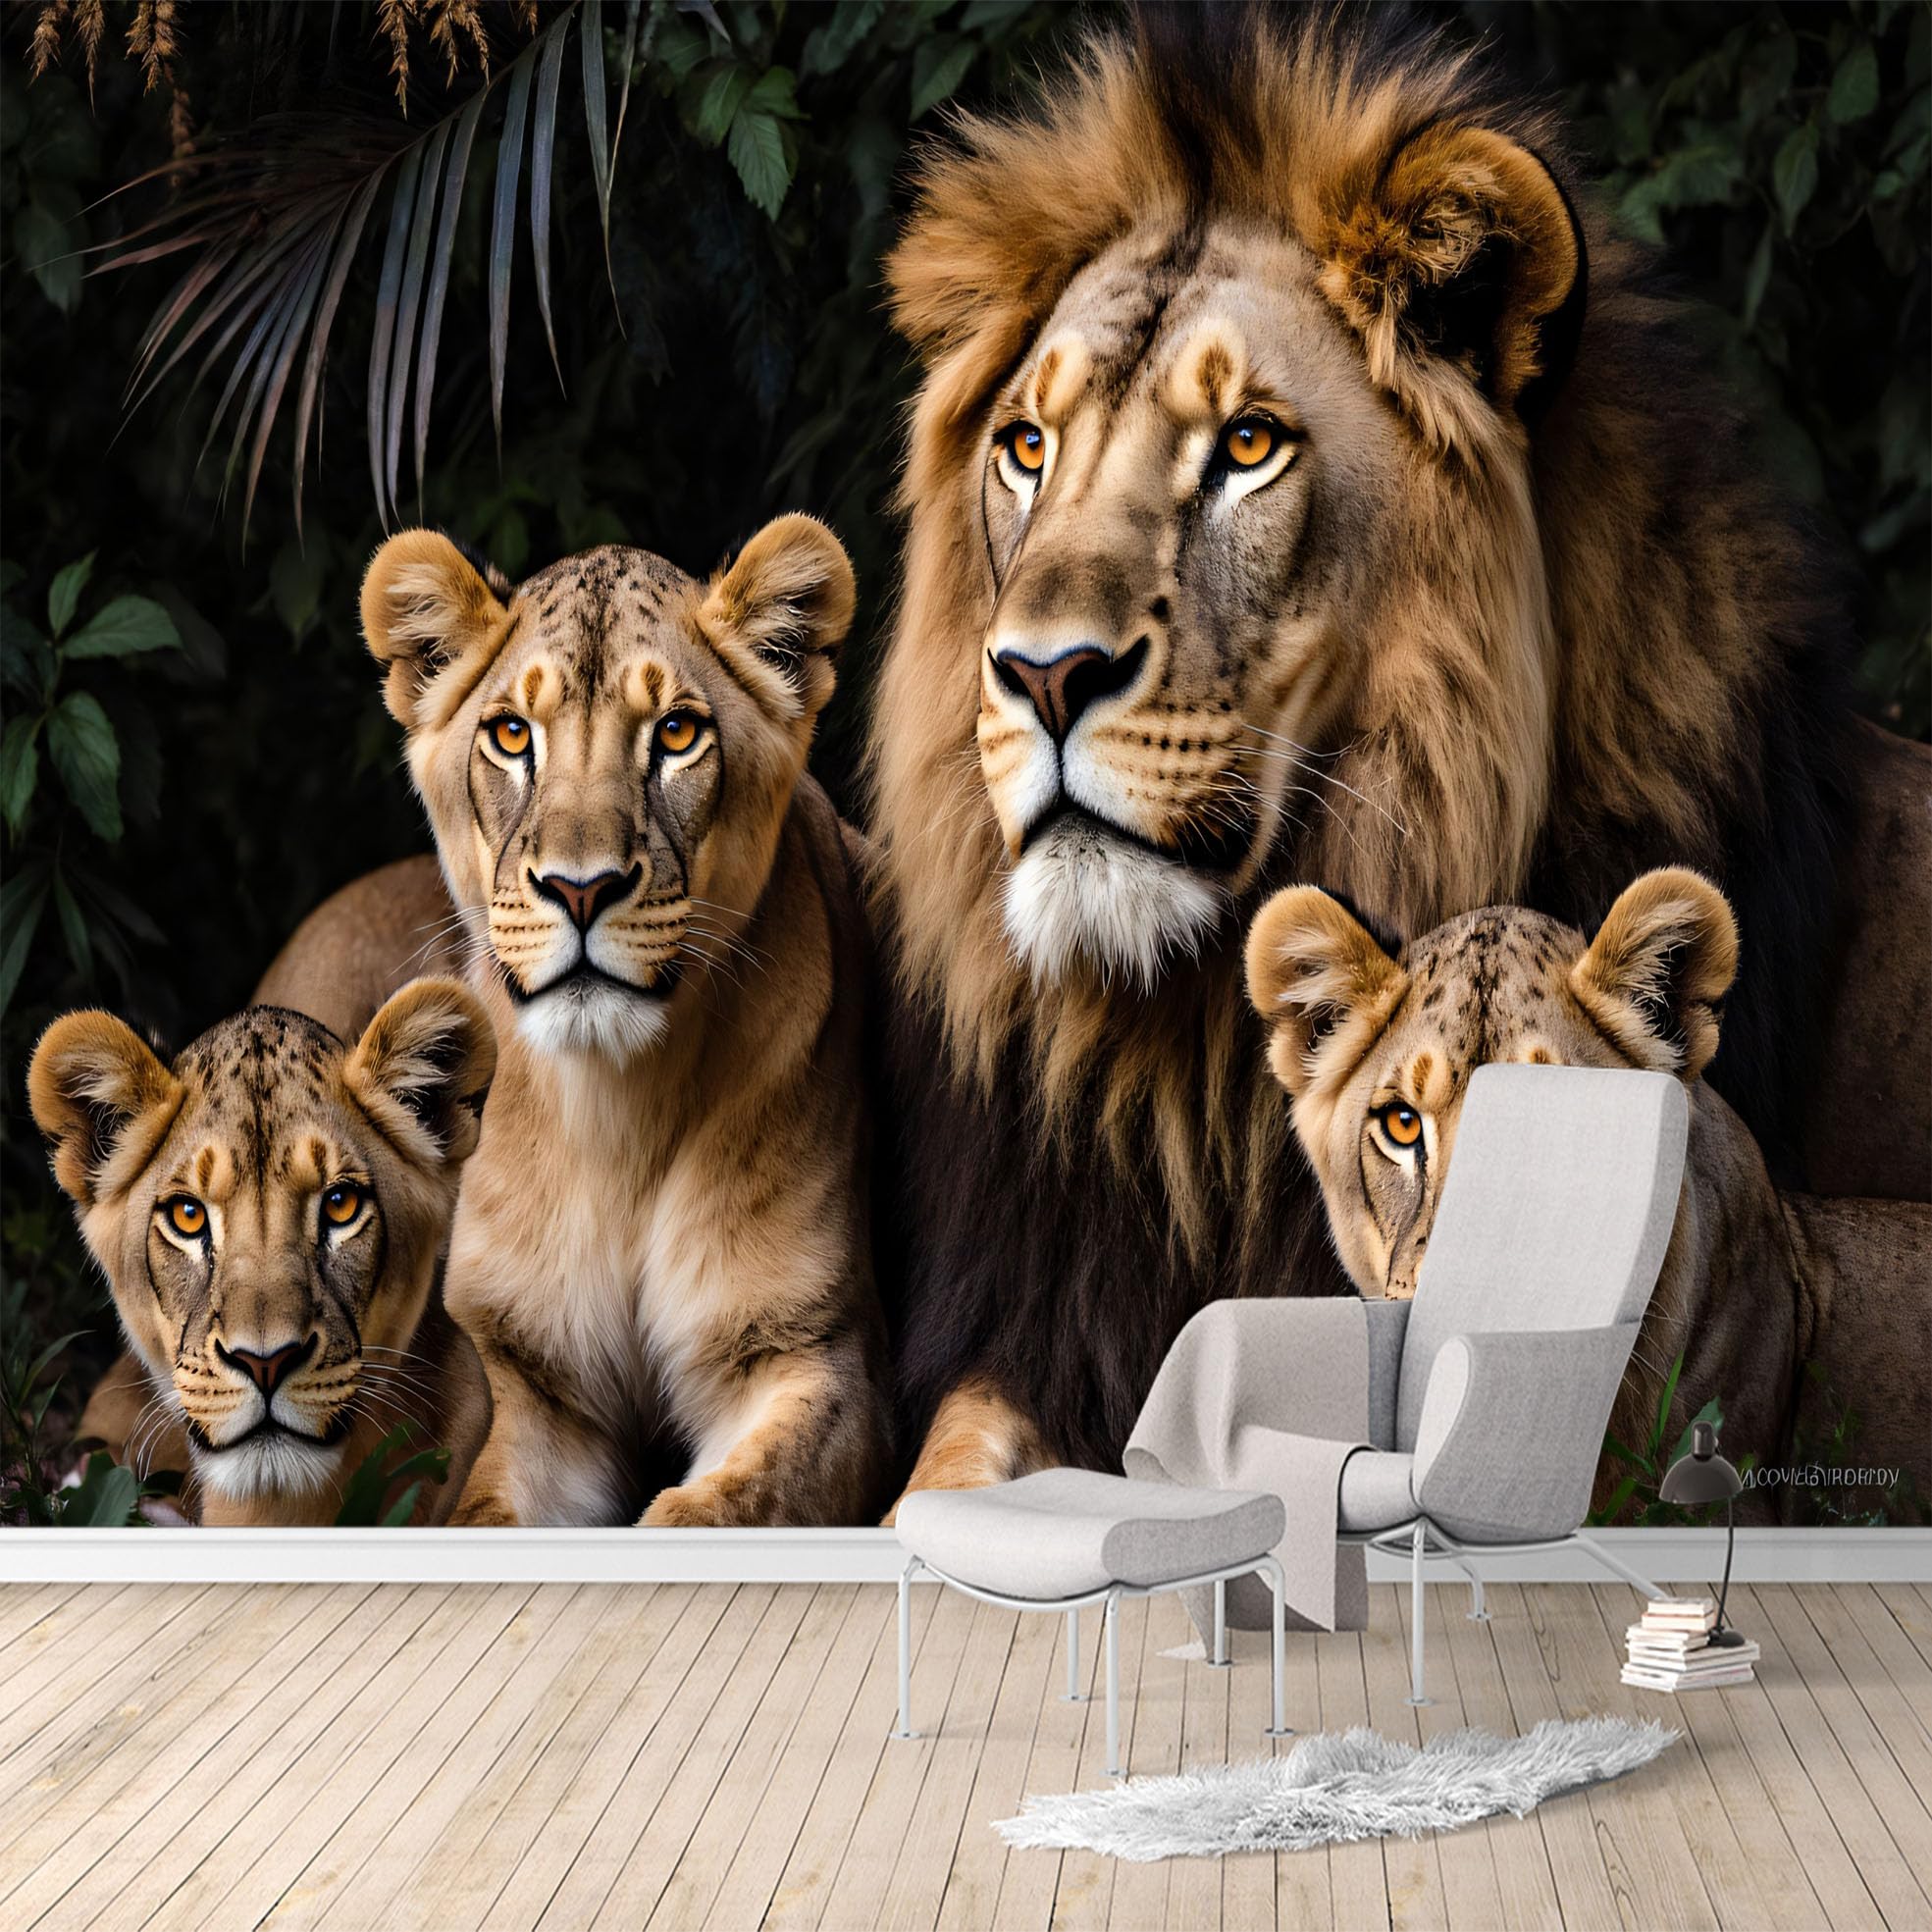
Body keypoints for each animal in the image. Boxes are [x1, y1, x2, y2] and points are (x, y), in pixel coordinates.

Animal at [263, 517, 893, 1527]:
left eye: (676, 732)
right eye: (512, 734)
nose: (581, 887)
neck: (616, 1108)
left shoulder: (808, 1352)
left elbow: (714, 1510)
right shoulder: (521, 1370)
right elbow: (484, 1510)